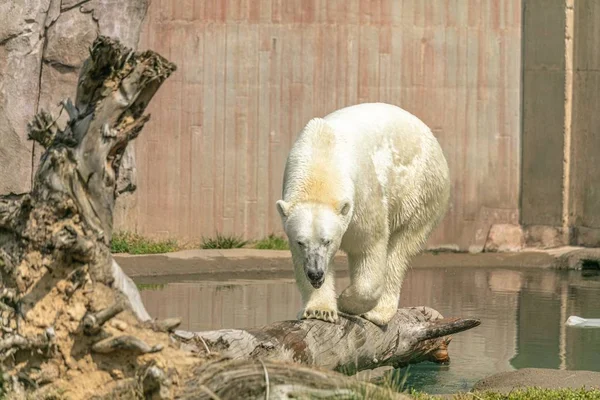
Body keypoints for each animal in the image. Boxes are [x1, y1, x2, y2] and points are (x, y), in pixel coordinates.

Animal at [276, 102, 450, 324]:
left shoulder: (362, 198)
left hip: (421, 192)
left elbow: (368, 245)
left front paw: (345, 301)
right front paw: (320, 310)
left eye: (327, 241)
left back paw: (378, 312)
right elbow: (300, 262)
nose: (315, 274)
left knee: (400, 248)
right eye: (301, 242)